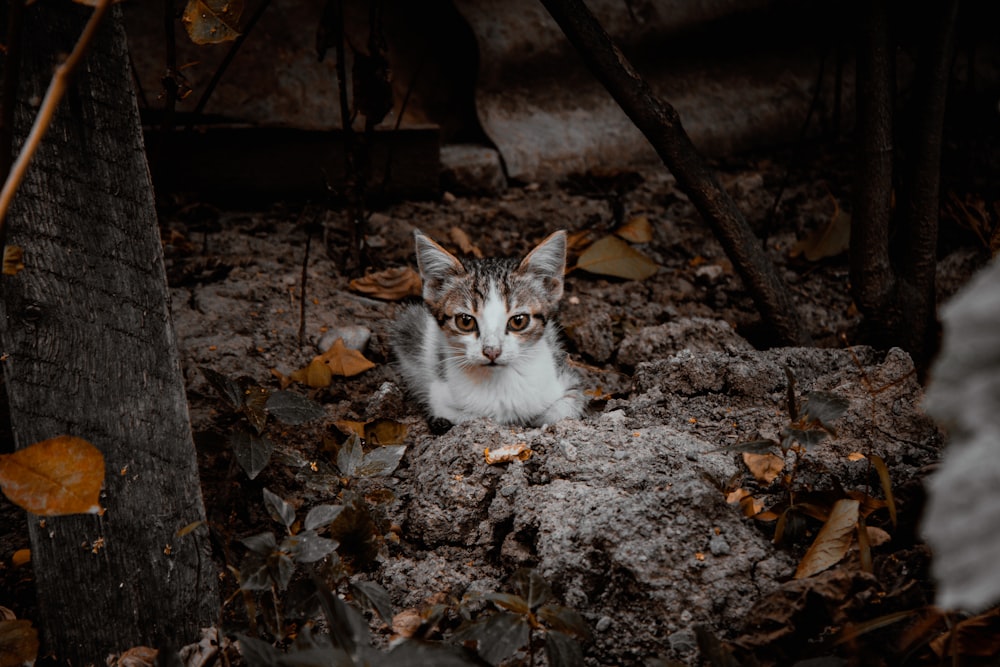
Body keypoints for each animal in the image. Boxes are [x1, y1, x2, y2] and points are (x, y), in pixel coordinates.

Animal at [386, 227, 584, 430]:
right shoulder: (439, 396)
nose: (492, 351)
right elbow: (466, 417)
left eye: (518, 321)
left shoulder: (567, 379)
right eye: (465, 321)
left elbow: (564, 409)